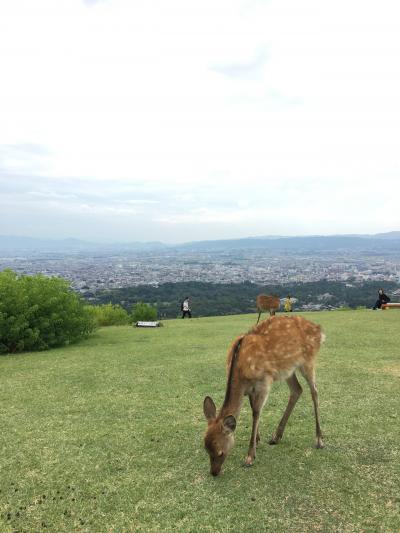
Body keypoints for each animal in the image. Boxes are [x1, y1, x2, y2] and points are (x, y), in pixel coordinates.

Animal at [203, 314, 324, 476]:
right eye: (206, 449)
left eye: (220, 452)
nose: (214, 472)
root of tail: (319, 330)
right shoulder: (250, 389)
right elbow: (253, 409)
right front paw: (258, 439)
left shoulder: (264, 381)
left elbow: (256, 412)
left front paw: (250, 456)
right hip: (287, 369)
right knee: (297, 389)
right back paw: (276, 436)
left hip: (308, 361)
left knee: (314, 391)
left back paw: (319, 440)